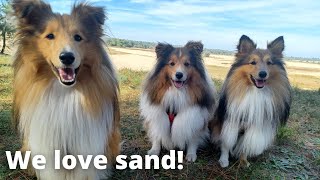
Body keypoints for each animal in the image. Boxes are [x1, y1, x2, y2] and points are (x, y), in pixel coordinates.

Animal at [210, 34, 292, 167]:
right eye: (253, 62)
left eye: (269, 63)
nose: (263, 74)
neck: (254, 92)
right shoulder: (231, 121)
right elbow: (226, 142)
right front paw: (224, 160)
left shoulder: (253, 127)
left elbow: (245, 144)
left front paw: (243, 160)